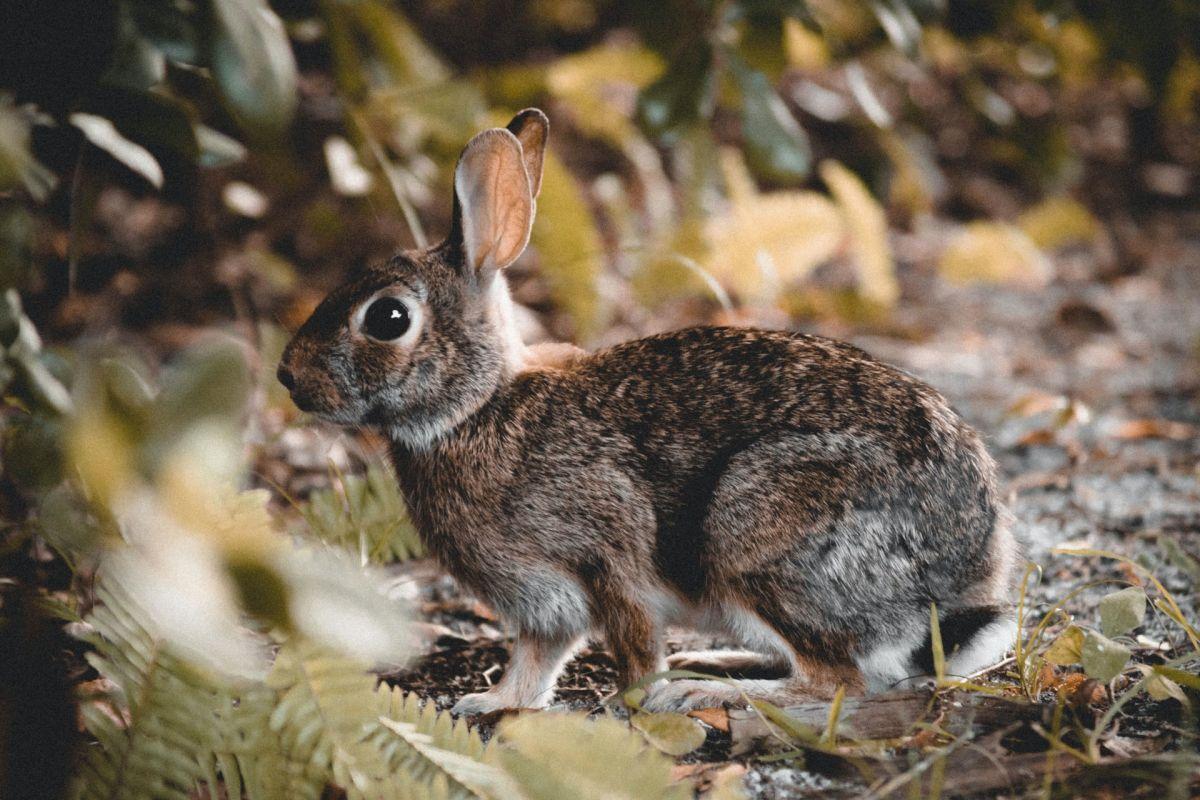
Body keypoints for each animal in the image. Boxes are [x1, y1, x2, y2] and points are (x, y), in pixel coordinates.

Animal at [278, 107, 1022, 714]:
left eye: (388, 319)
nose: (289, 376)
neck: (478, 405)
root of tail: (963, 575)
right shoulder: (544, 604)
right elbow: (535, 662)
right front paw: (492, 704)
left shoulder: (607, 551)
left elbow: (630, 640)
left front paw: (636, 699)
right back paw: (712, 663)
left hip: (760, 526)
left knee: (838, 680)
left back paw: (706, 692)